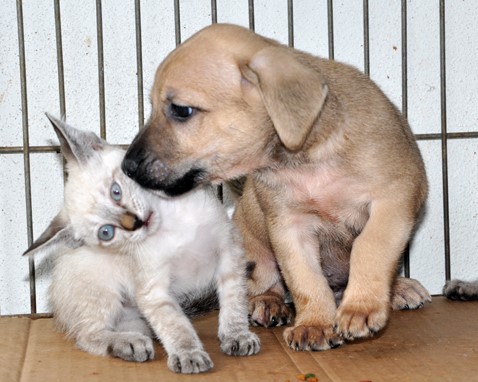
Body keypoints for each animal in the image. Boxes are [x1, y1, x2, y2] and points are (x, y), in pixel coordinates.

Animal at [24, 115, 260, 374]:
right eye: (106, 232)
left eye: (115, 192)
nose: (135, 223)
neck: (172, 224)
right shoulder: (153, 290)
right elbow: (176, 324)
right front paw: (189, 354)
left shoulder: (229, 253)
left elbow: (234, 302)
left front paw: (237, 336)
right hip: (101, 290)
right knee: (87, 336)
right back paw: (127, 344)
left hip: (134, 317)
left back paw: (136, 341)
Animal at [122, 23, 430, 350]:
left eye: (181, 110)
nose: (127, 166)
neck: (307, 159)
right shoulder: (290, 227)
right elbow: (305, 280)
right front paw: (314, 324)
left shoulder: (391, 203)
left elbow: (370, 248)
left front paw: (361, 307)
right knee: (264, 284)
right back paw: (268, 302)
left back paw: (398, 288)